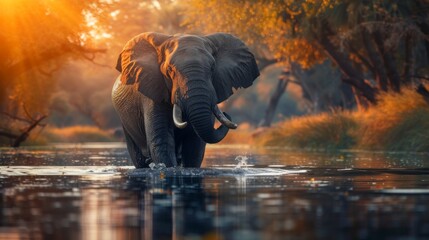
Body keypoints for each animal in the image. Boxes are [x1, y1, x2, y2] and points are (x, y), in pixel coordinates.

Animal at [111, 31, 258, 168]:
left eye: (212, 68)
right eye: (170, 70)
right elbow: (162, 141)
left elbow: (194, 144)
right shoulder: (152, 92)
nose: (228, 114)